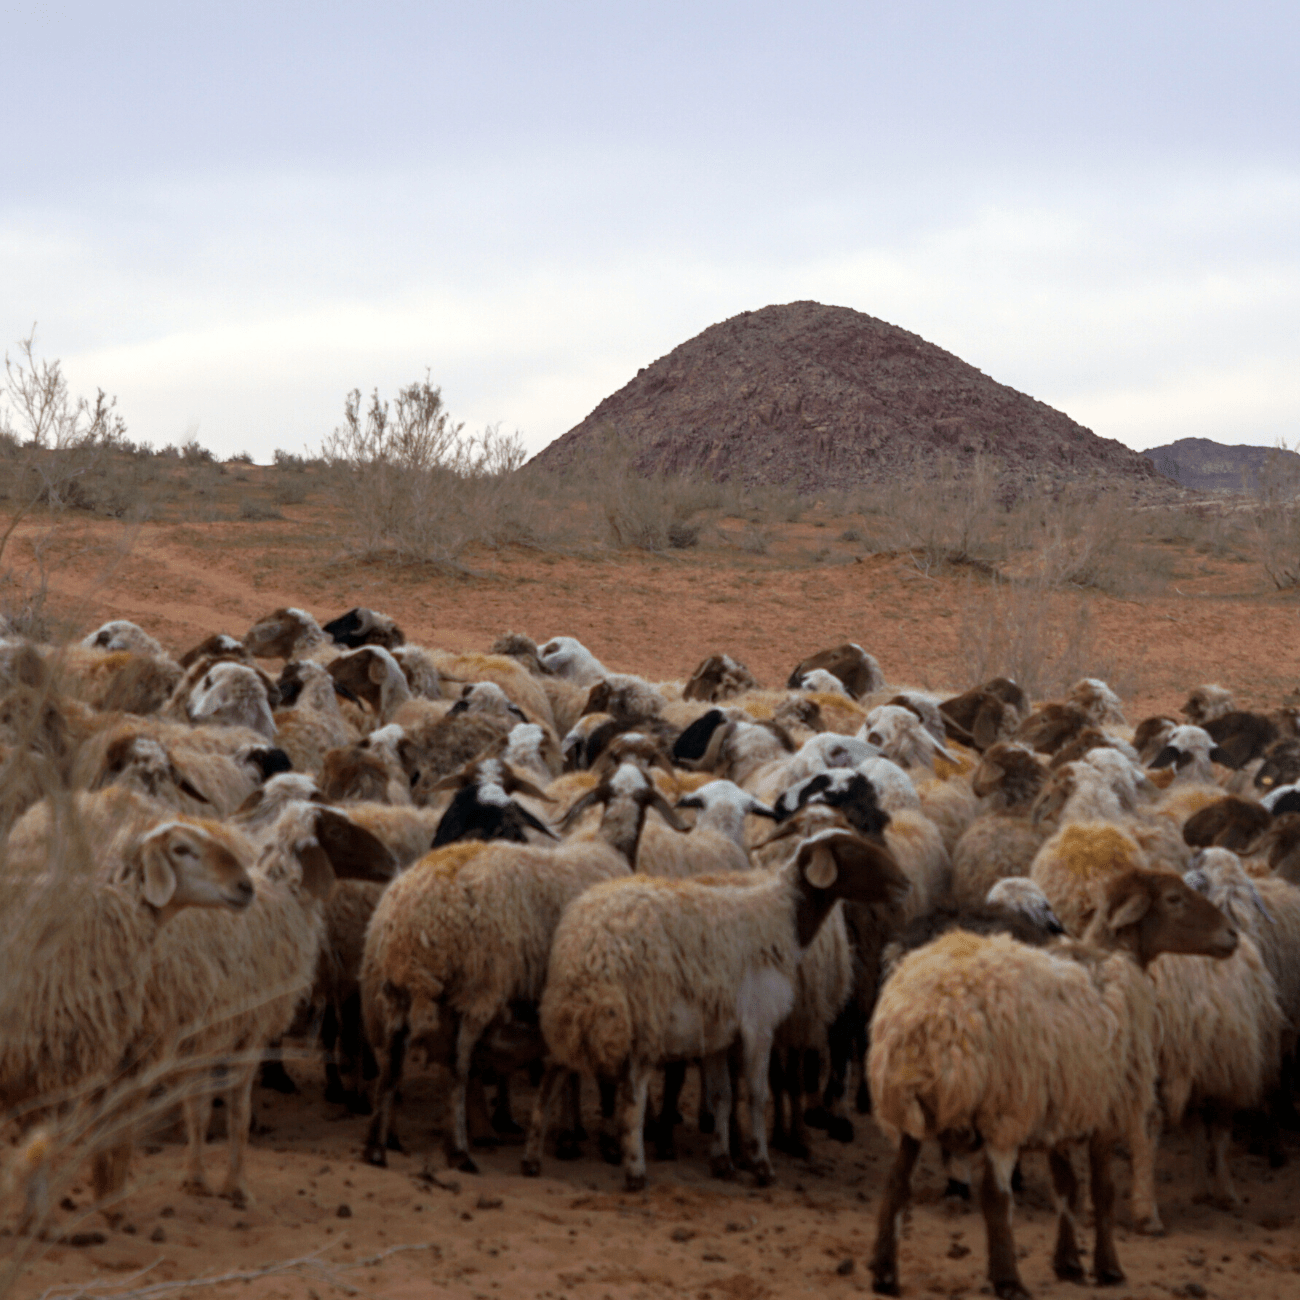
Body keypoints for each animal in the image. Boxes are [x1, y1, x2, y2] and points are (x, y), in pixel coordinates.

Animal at [358, 759, 681, 1175]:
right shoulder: (594, 987)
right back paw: (459, 1149)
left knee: (392, 1063)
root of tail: (416, 914)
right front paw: (589, 1138)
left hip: (396, 987)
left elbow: (565, 1064)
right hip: (479, 985)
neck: (609, 848)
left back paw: (378, 1146)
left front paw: (568, 1133)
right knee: (459, 1067)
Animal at [522, 832, 909, 1190]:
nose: (905, 883)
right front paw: (761, 1165)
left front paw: (723, 1161)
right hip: (640, 1017)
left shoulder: (718, 1032)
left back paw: (533, 1157)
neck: (782, 917)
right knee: (633, 1093)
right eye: (852, 848)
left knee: (551, 1077)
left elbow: (723, 1096)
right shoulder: (758, 1024)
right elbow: (757, 1095)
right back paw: (635, 1171)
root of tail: (590, 944)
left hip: (574, 1012)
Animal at [868, 863, 1232, 1300]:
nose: (1232, 935)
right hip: (1002, 1106)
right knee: (994, 1196)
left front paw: (1068, 1263)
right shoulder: (1104, 1109)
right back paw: (1008, 1280)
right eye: (1174, 899)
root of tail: (928, 1017)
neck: (1114, 959)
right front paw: (1108, 1267)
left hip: (907, 1103)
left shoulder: (1062, 1108)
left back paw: (885, 1273)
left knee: (895, 1183)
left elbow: (1067, 1189)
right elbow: (1102, 1192)